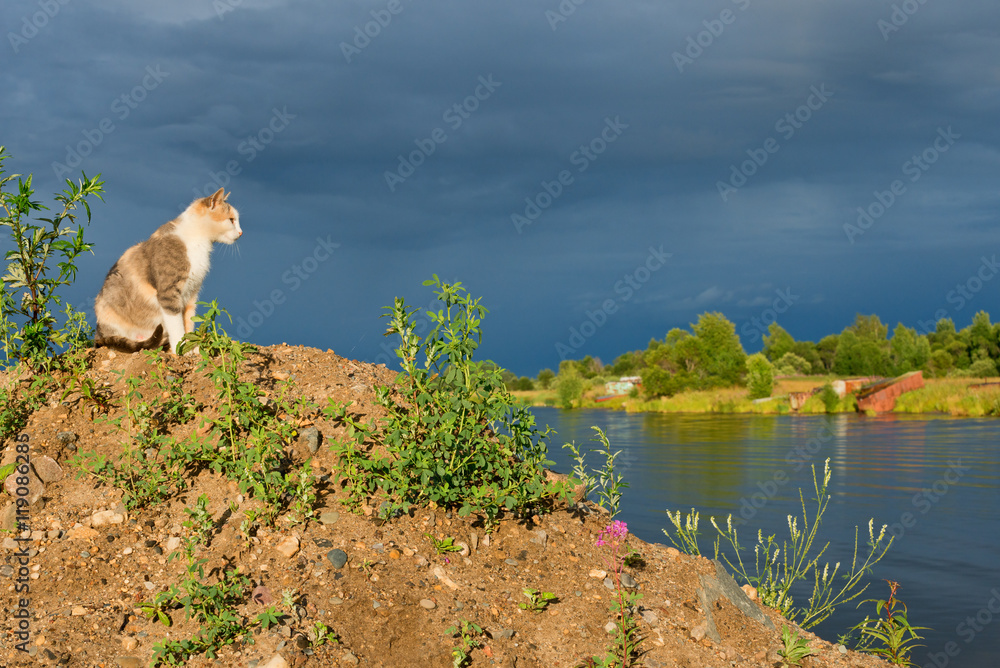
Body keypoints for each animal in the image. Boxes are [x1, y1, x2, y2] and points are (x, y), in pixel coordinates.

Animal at [94, 188, 242, 354]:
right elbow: (177, 325)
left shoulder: (192, 294)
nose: (241, 232)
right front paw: (180, 349)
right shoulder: (168, 293)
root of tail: (98, 334)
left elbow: (188, 323)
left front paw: (192, 348)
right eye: (231, 220)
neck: (198, 241)